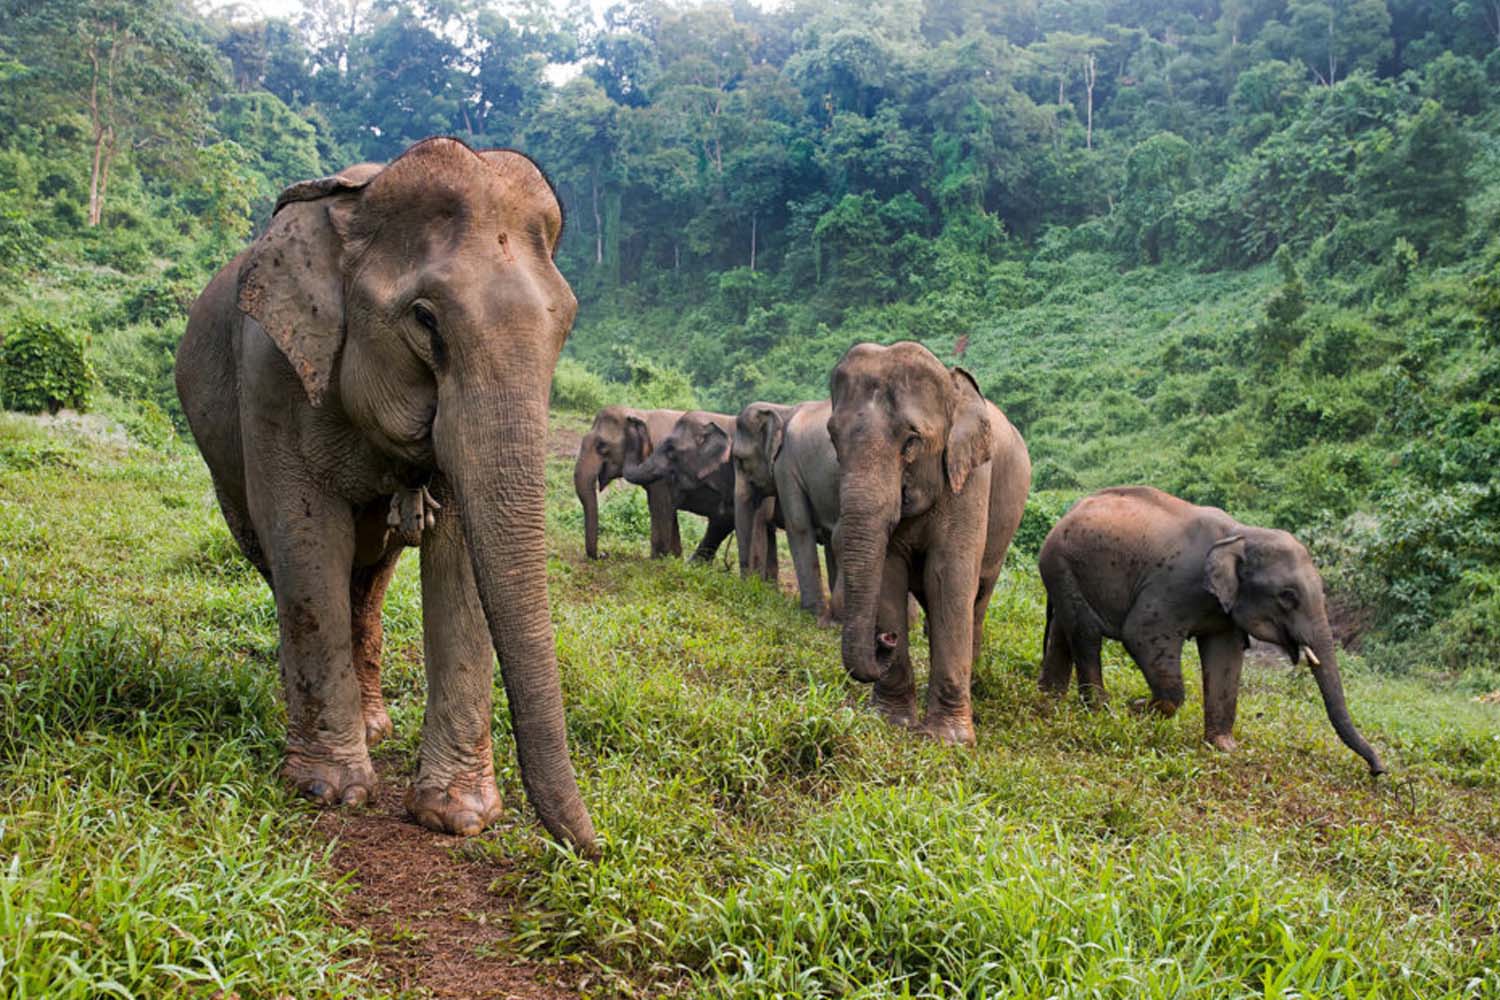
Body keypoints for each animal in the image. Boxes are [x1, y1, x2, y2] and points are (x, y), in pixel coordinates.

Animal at [173, 137, 595, 848]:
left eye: (565, 325)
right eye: (425, 320)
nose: (592, 848)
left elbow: (459, 555)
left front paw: (457, 816)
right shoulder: (272, 370)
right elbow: (306, 536)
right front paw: (328, 791)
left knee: (369, 579)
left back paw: (374, 727)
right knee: (283, 562)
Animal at [574, 405, 684, 559]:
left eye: (602, 446)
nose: (603, 554)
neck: (639, 413)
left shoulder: (662, 470)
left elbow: (660, 506)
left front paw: (657, 559)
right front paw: (674, 558)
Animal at [733, 400, 842, 621]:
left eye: (740, 459)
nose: (746, 588)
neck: (783, 410)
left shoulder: (786, 467)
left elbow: (798, 526)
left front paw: (814, 616)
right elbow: (830, 539)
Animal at [829, 341, 1031, 744]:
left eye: (911, 441)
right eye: (832, 438)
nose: (886, 638)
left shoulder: (970, 479)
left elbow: (949, 576)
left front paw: (949, 740)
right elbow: (889, 570)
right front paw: (891, 722)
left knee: (976, 600)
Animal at [1037, 485, 1386, 775]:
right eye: (1288, 596)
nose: (1378, 770)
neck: (1241, 533)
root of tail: (1068, 511)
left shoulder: (1224, 610)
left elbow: (1225, 658)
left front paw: (1224, 747)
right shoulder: (1174, 584)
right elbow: (1141, 633)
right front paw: (1135, 710)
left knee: (1065, 631)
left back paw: (1052, 699)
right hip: (1061, 561)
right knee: (1086, 633)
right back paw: (1100, 712)